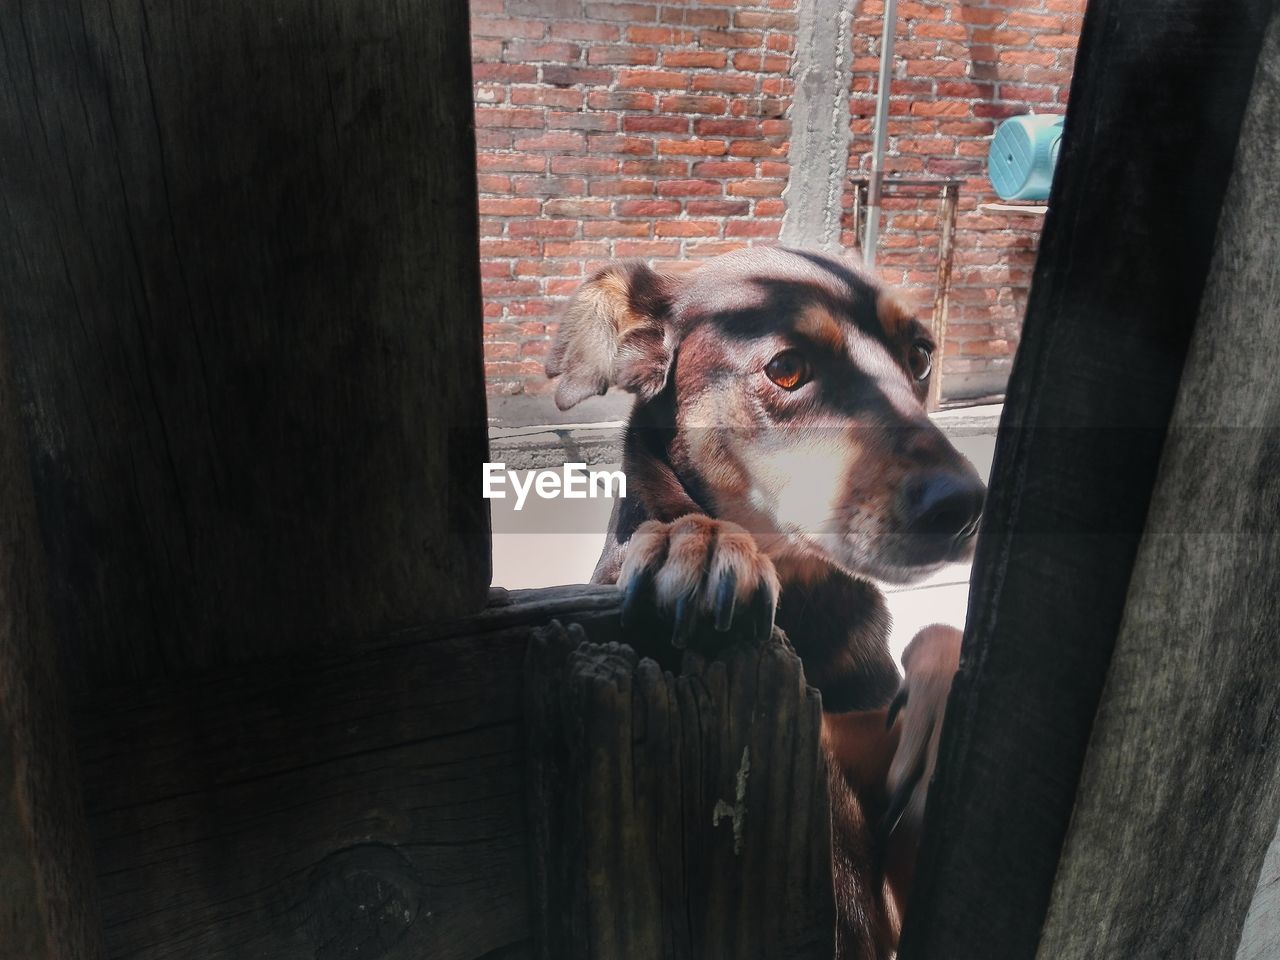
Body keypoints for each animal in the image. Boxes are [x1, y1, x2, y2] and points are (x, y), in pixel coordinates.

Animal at [540, 245, 977, 957]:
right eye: (787, 368)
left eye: (919, 356)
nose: (967, 506)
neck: (799, 597)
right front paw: (697, 539)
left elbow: (940, 634)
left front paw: (938, 706)